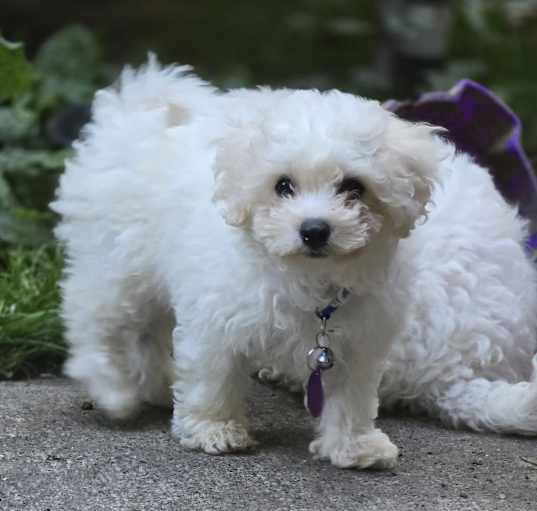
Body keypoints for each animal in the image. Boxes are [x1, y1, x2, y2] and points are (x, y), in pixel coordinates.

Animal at [51, 58, 536, 470]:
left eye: (354, 188)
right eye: (283, 185)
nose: (315, 229)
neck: (307, 274)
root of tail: (136, 108)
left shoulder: (356, 337)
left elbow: (351, 395)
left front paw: (354, 446)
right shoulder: (216, 319)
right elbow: (213, 376)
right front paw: (214, 429)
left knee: (146, 328)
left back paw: (152, 384)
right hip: (114, 261)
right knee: (96, 317)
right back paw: (112, 388)